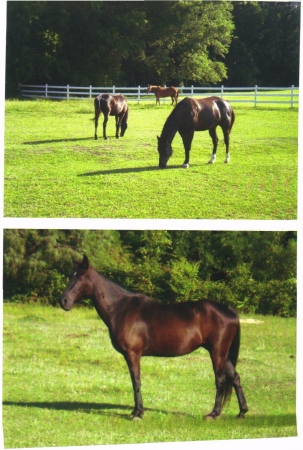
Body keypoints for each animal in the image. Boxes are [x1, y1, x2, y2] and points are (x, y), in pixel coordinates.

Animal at [60, 253, 248, 422]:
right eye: (71, 276)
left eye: (81, 277)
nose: (64, 301)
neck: (121, 308)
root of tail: (229, 310)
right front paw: (136, 411)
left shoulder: (132, 354)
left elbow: (136, 382)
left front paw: (138, 413)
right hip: (223, 353)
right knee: (235, 378)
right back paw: (242, 412)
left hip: (217, 352)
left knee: (220, 380)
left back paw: (213, 414)